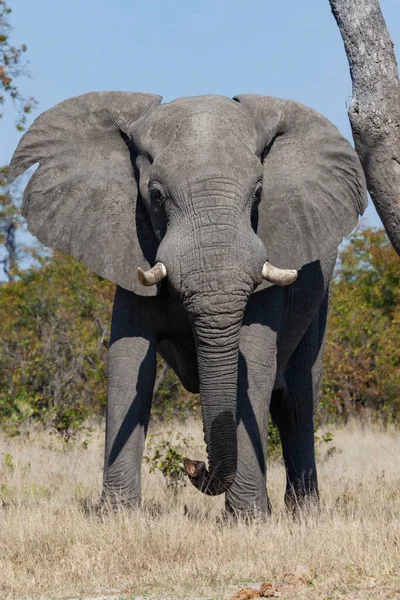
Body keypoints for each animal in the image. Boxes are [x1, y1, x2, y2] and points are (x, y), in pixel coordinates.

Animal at [9, 92, 368, 516]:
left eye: (259, 194)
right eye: (157, 196)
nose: (193, 464)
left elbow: (254, 365)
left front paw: (246, 521)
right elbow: (128, 363)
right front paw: (117, 515)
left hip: (321, 295)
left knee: (296, 400)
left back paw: (303, 514)